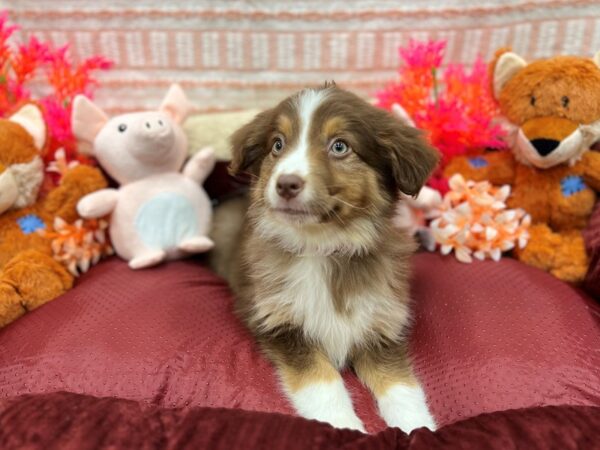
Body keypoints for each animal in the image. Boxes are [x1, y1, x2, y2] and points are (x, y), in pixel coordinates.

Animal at [213, 82, 438, 430]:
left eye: (340, 146)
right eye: (277, 144)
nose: (285, 184)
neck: (323, 247)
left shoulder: (382, 327)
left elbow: (402, 386)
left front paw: (418, 428)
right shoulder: (280, 324)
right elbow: (322, 382)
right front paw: (344, 426)